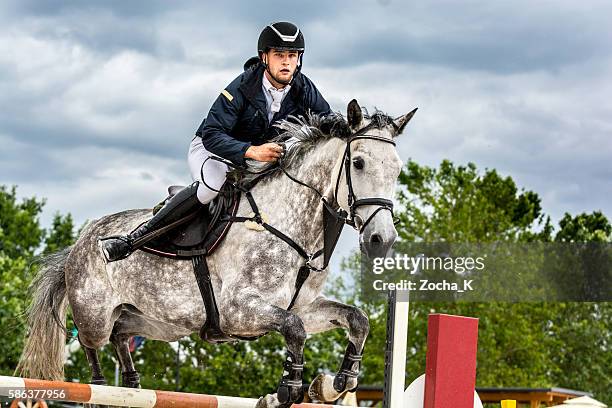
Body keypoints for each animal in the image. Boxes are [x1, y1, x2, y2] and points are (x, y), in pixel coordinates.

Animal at [16, 99, 416, 408]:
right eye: (358, 163)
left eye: (397, 170)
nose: (381, 239)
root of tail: (80, 242)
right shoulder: (238, 311)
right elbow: (294, 329)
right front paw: (289, 388)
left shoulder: (302, 306)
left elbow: (355, 319)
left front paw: (334, 383)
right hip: (95, 314)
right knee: (90, 342)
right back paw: (100, 383)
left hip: (155, 321)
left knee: (121, 334)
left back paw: (131, 383)